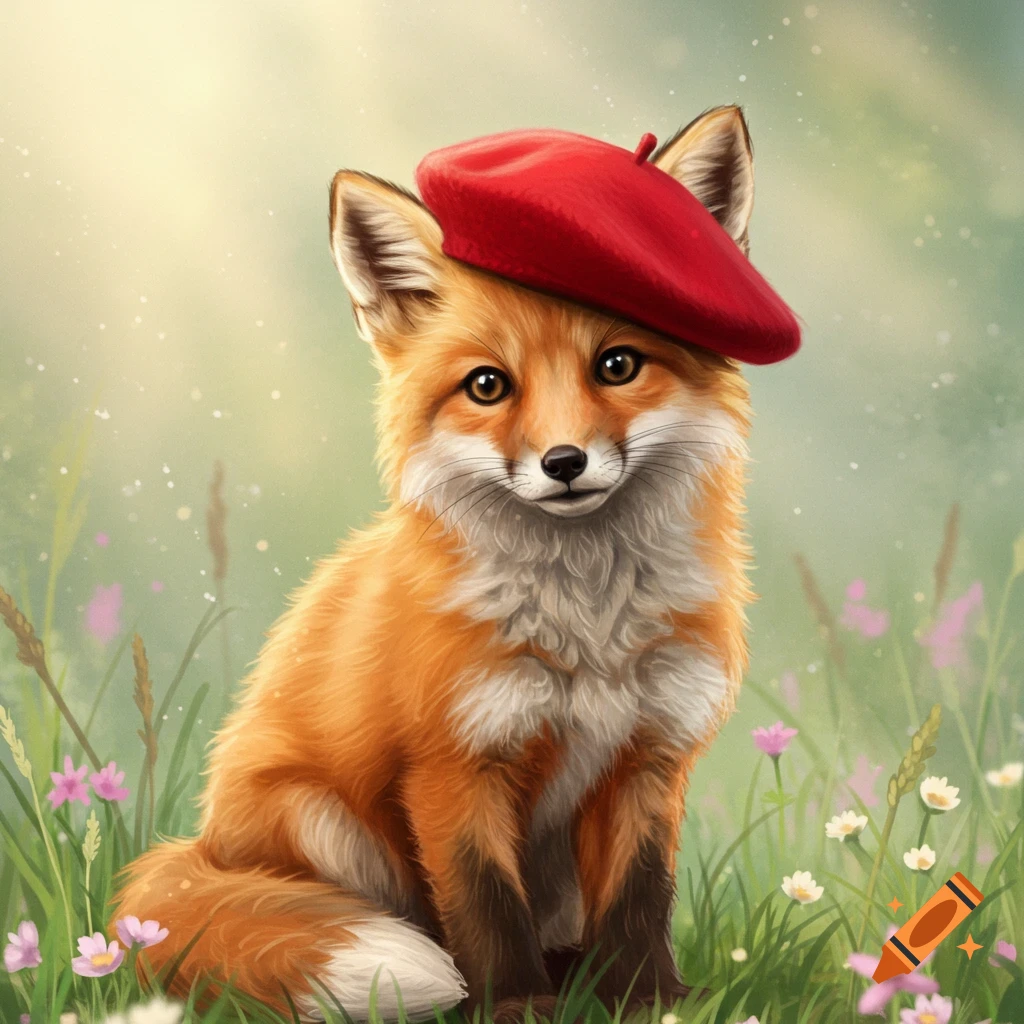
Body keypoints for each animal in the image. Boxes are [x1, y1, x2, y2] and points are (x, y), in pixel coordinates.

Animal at [112, 105, 761, 1023]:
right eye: (487, 385)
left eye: (618, 365)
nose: (565, 463)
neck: (588, 626)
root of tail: (198, 847)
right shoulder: (453, 765)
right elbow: (483, 903)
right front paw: (512, 1006)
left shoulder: (650, 757)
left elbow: (640, 899)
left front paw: (650, 1001)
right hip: (320, 820)